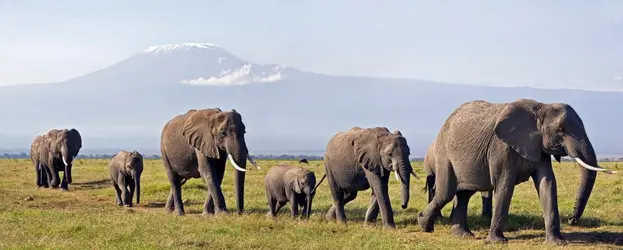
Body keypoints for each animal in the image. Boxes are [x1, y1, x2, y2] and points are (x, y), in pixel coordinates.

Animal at [416, 98, 616, 243]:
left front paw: (557, 243)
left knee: (463, 194)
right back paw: (423, 225)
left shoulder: (538, 147)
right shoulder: (501, 148)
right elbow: (505, 185)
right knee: (446, 193)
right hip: (444, 154)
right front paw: (497, 242)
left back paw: (463, 236)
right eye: (561, 130)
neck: (540, 107)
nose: (572, 220)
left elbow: (547, 183)